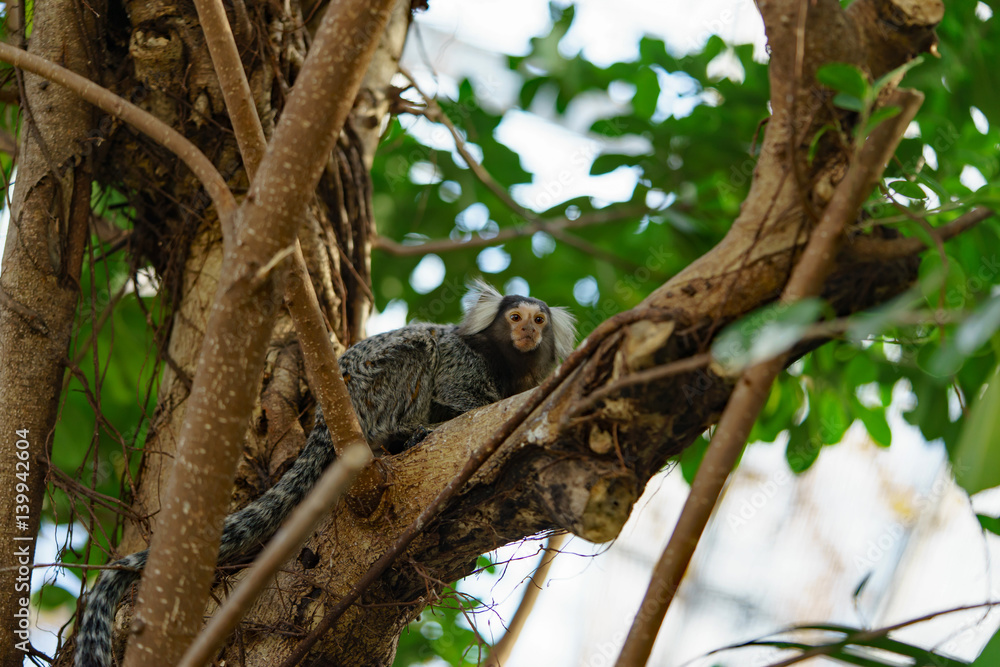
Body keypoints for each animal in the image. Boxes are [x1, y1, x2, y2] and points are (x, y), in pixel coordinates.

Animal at [74, 280, 576, 664]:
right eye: (515, 317)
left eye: (539, 321)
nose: (527, 330)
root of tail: (323, 421)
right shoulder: (461, 361)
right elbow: (454, 385)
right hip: (374, 388)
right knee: (417, 349)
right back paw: (408, 431)